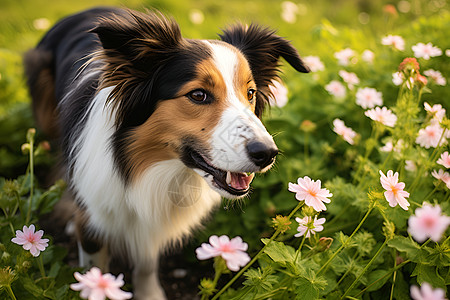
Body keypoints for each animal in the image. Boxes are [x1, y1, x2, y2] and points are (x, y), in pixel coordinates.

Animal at [24, 6, 310, 298]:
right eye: (198, 95)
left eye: (250, 93)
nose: (267, 153)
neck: (147, 168)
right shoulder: (96, 219)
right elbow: (95, 268)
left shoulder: (152, 219)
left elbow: (147, 261)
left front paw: (149, 293)